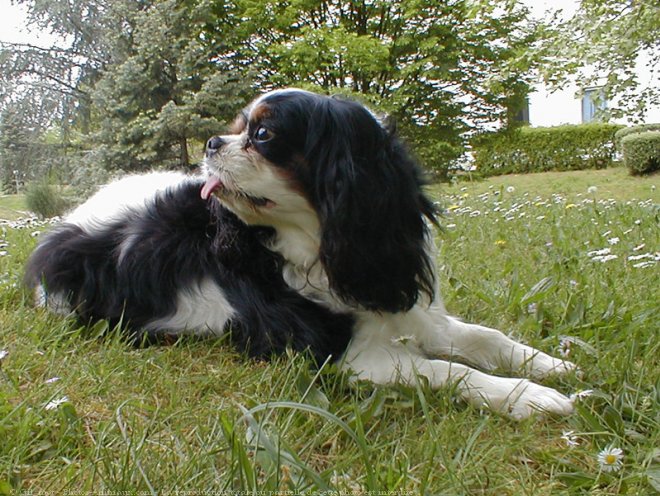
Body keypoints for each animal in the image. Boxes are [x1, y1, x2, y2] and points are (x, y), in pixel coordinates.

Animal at [25, 88, 576, 418]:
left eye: (262, 134)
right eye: (237, 128)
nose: (211, 142)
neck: (317, 245)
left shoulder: (403, 300)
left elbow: (483, 337)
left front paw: (548, 364)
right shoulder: (342, 356)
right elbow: (449, 369)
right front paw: (530, 397)